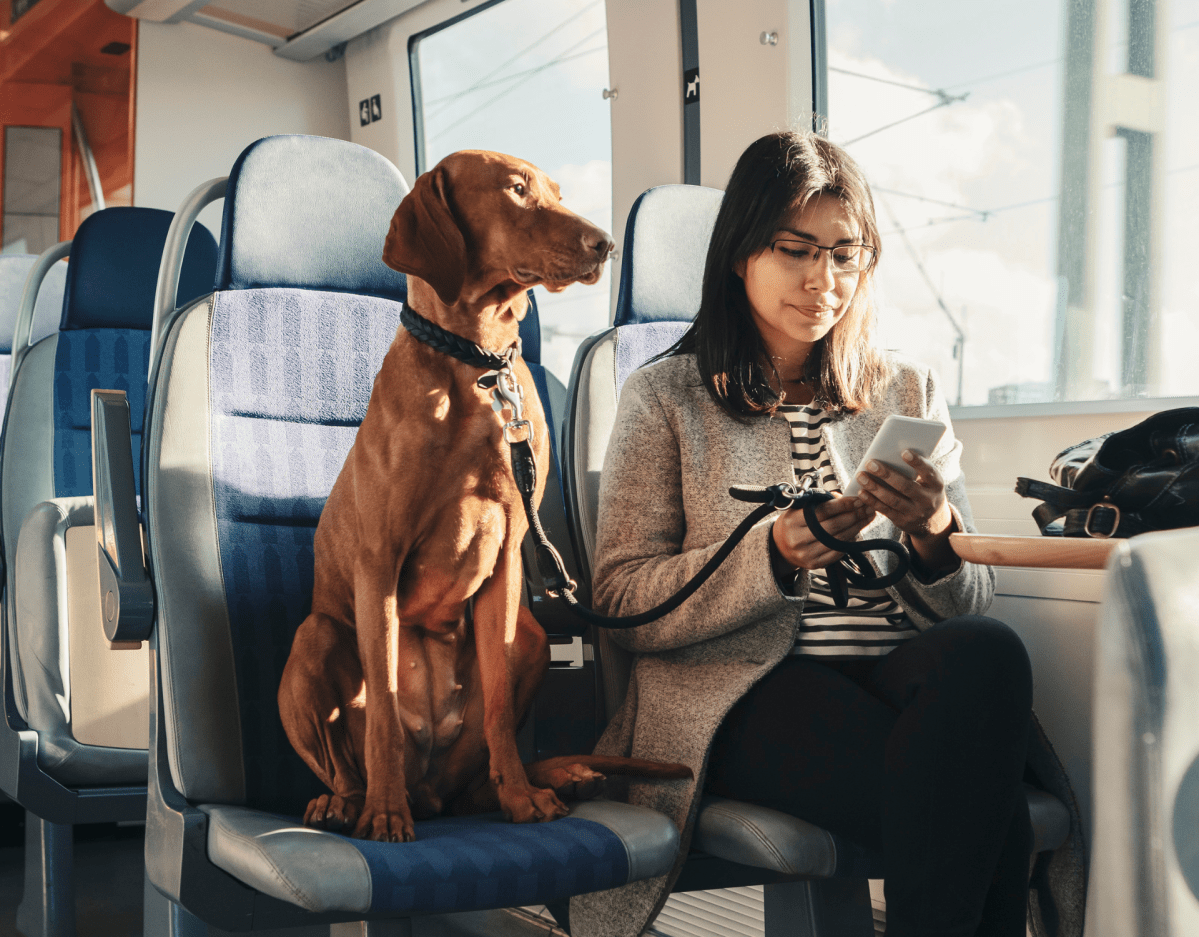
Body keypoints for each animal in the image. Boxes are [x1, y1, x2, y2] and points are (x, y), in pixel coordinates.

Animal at [276, 151, 690, 839]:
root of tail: (430, 790)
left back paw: (537, 783)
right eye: (516, 190)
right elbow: (383, 711)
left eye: (555, 191)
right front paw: (384, 813)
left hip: (529, 635)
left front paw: (521, 799)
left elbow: (496, 708)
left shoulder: (508, 559)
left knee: (470, 780)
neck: (477, 363)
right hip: (317, 634)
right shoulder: (379, 562)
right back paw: (351, 801)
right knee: (343, 759)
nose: (603, 243)